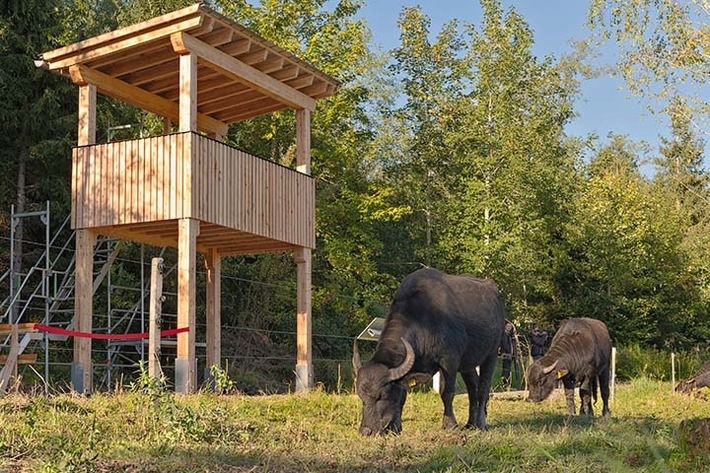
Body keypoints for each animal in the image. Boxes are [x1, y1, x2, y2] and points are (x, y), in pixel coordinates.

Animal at [350, 266, 506, 436]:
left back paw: (481, 424)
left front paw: (450, 424)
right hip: (468, 363)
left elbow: (447, 392)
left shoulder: (449, 360)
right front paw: (396, 427)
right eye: (361, 396)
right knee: (473, 388)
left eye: (381, 395)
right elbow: (402, 395)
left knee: (484, 388)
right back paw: (471, 424)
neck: (423, 320)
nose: (366, 430)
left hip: (491, 354)